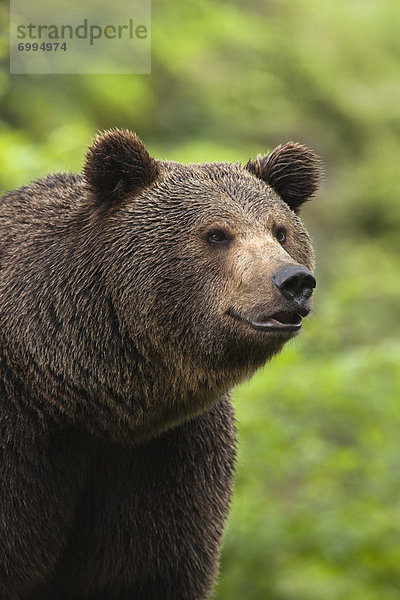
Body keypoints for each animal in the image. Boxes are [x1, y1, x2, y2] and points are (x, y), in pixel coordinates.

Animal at [0, 129, 320, 596]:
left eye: (279, 231)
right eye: (217, 234)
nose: (293, 280)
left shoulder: (165, 461)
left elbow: (148, 570)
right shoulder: (21, 444)